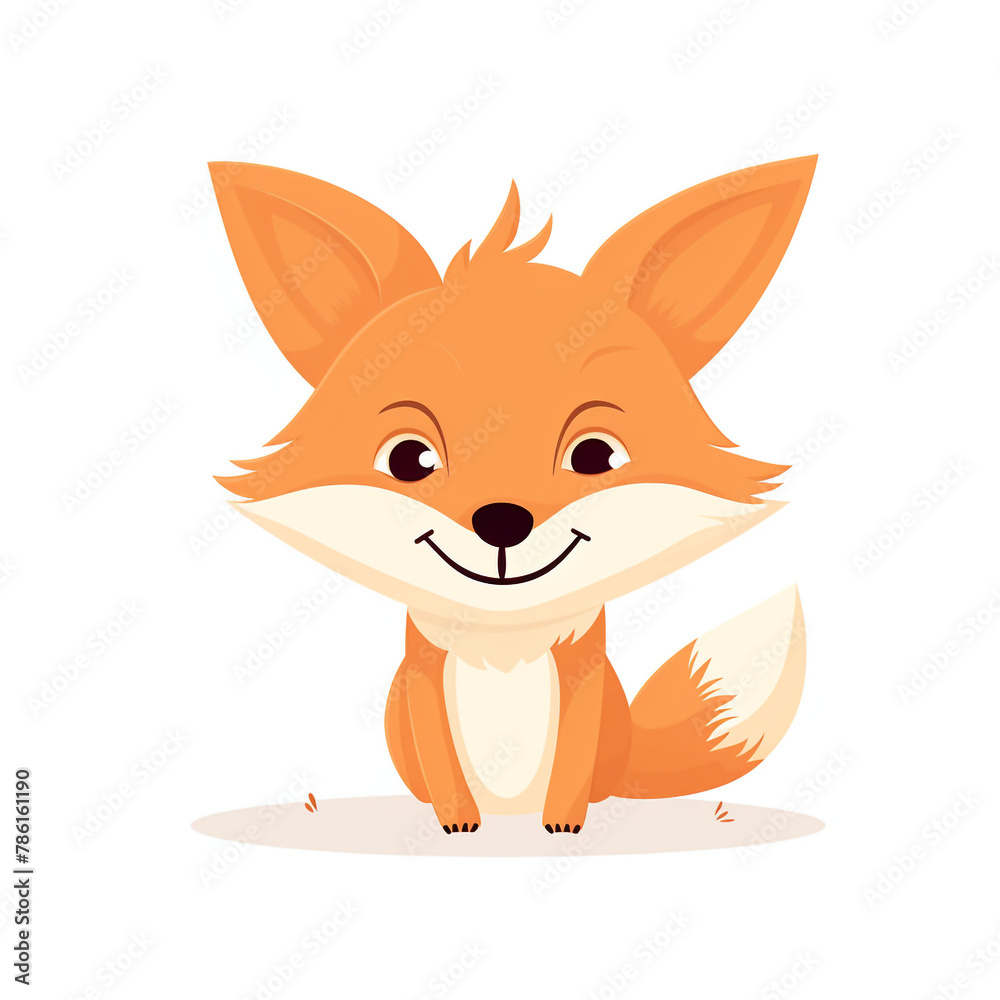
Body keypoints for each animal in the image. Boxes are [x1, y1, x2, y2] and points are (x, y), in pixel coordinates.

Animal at [209, 154, 815, 836]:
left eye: (595, 456)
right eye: (408, 459)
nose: (502, 520)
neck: (503, 636)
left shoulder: (582, 669)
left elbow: (572, 760)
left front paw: (564, 828)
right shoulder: (421, 671)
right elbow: (439, 753)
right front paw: (455, 824)